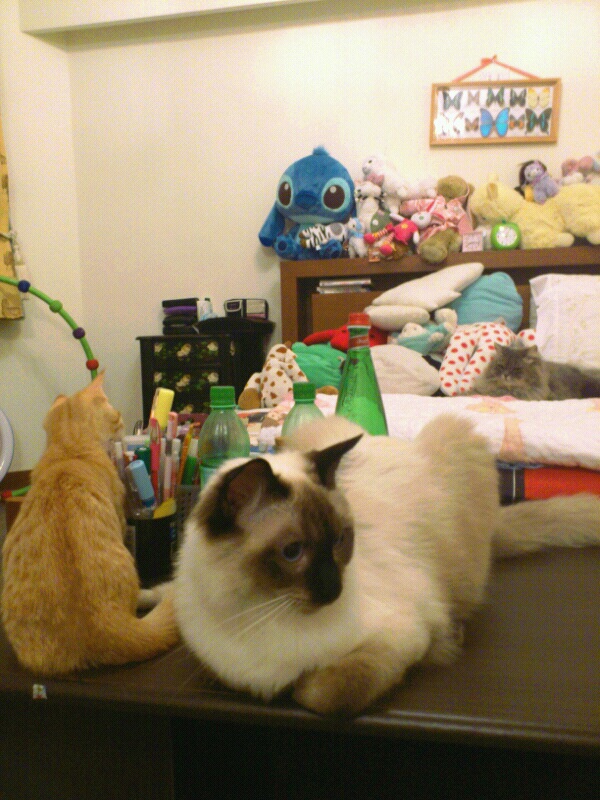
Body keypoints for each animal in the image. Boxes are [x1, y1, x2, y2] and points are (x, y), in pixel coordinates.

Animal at [174, 414, 600, 717]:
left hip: (456, 435)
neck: (264, 612)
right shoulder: (231, 673)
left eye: (341, 540)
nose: (334, 589)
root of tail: (395, 442)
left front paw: (302, 687)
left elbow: (327, 692)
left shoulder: (404, 634)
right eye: (292, 552)